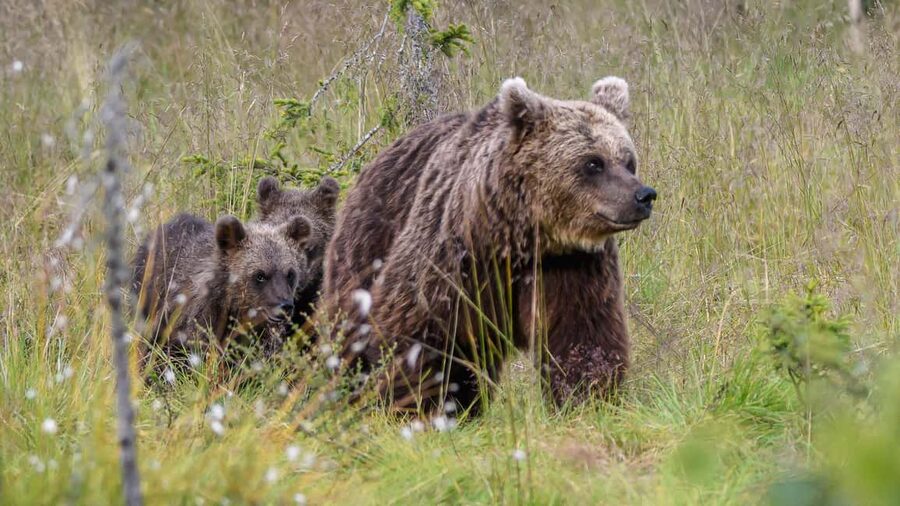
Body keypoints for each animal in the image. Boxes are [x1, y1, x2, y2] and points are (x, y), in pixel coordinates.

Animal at [323, 76, 656, 415]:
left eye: (628, 161)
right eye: (593, 163)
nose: (643, 196)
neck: (519, 239)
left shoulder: (571, 265)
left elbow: (582, 334)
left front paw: (587, 398)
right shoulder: (454, 260)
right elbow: (421, 332)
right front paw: (422, 404)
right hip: (367, 245)